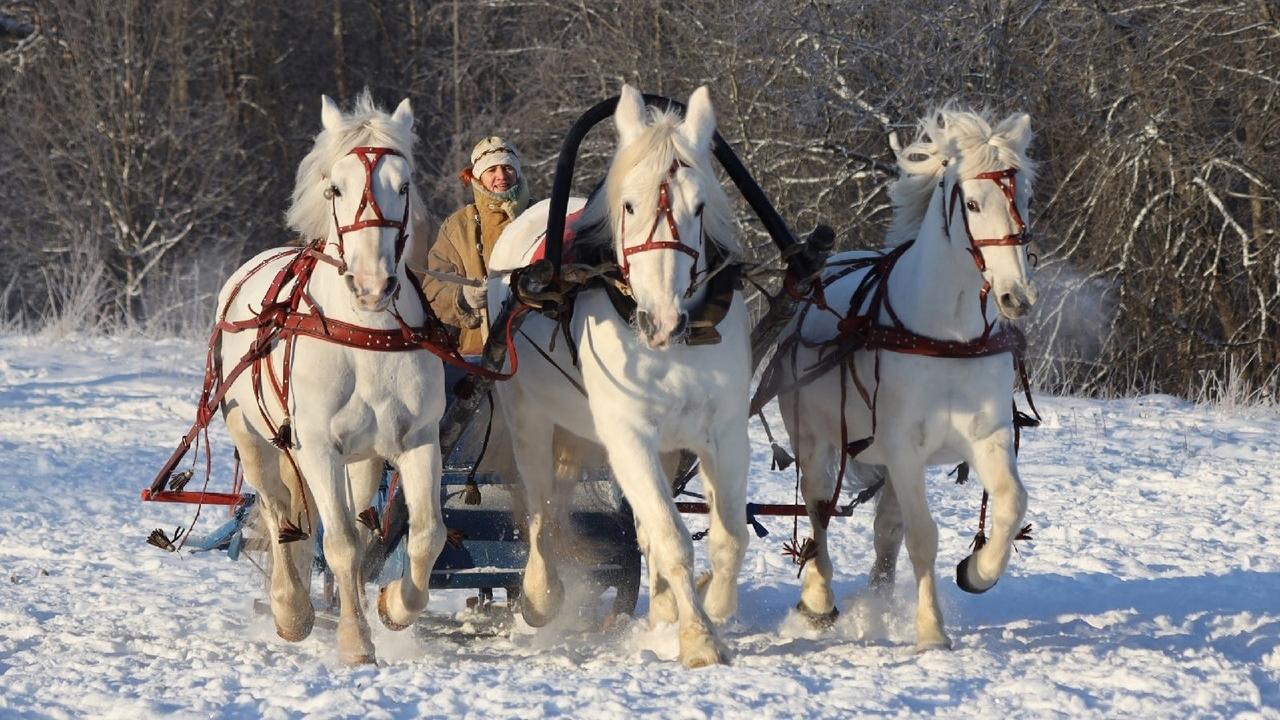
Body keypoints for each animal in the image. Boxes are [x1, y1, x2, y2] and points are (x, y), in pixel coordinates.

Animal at [215, 92, 445, 666]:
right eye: (335, 187)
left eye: (404, 186)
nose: (371, 284)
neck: (365, 335)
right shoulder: (317, 446)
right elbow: (337, 541)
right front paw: (355, 641)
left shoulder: (417, 439)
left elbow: (425, 536)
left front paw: (393, 606)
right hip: (255, 438)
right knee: (281, 516)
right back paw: (291, 609)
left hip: (360, 457)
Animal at [486, 85, 747, 666]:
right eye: (629, 204)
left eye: (700, 207)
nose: (662, 322)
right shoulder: (628, 436)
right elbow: (673, 537)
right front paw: (699, 640)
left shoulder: (722, 432)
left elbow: (728, 536)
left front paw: (712, 609)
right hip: (527, 414)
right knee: (541, 507)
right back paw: (542, 594)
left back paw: (663, 609)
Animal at [778, 107, 1039, 650]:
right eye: (974, 203)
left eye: (1024, 196)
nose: (1017, 297)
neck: (948, 335)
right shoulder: (903, 448)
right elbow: (924, 537)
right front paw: (931, 631)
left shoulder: (987, 437)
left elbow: (1009, 504)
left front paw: (978, 570)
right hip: (814, 440)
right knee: (817, 509)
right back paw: (818, 598)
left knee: (885, 531)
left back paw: (876, 604)